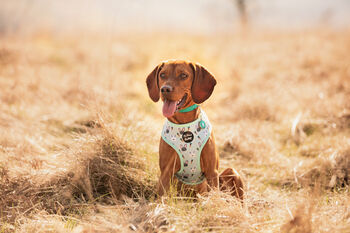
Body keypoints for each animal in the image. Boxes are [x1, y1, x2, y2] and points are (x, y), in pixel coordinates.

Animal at [147, 59, 243, 199]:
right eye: (162, 75)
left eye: (183, 75)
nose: (164, 89)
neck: (184, 125)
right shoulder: (165, 173)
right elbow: (160, 197)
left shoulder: (212, 172)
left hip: (233, 172)